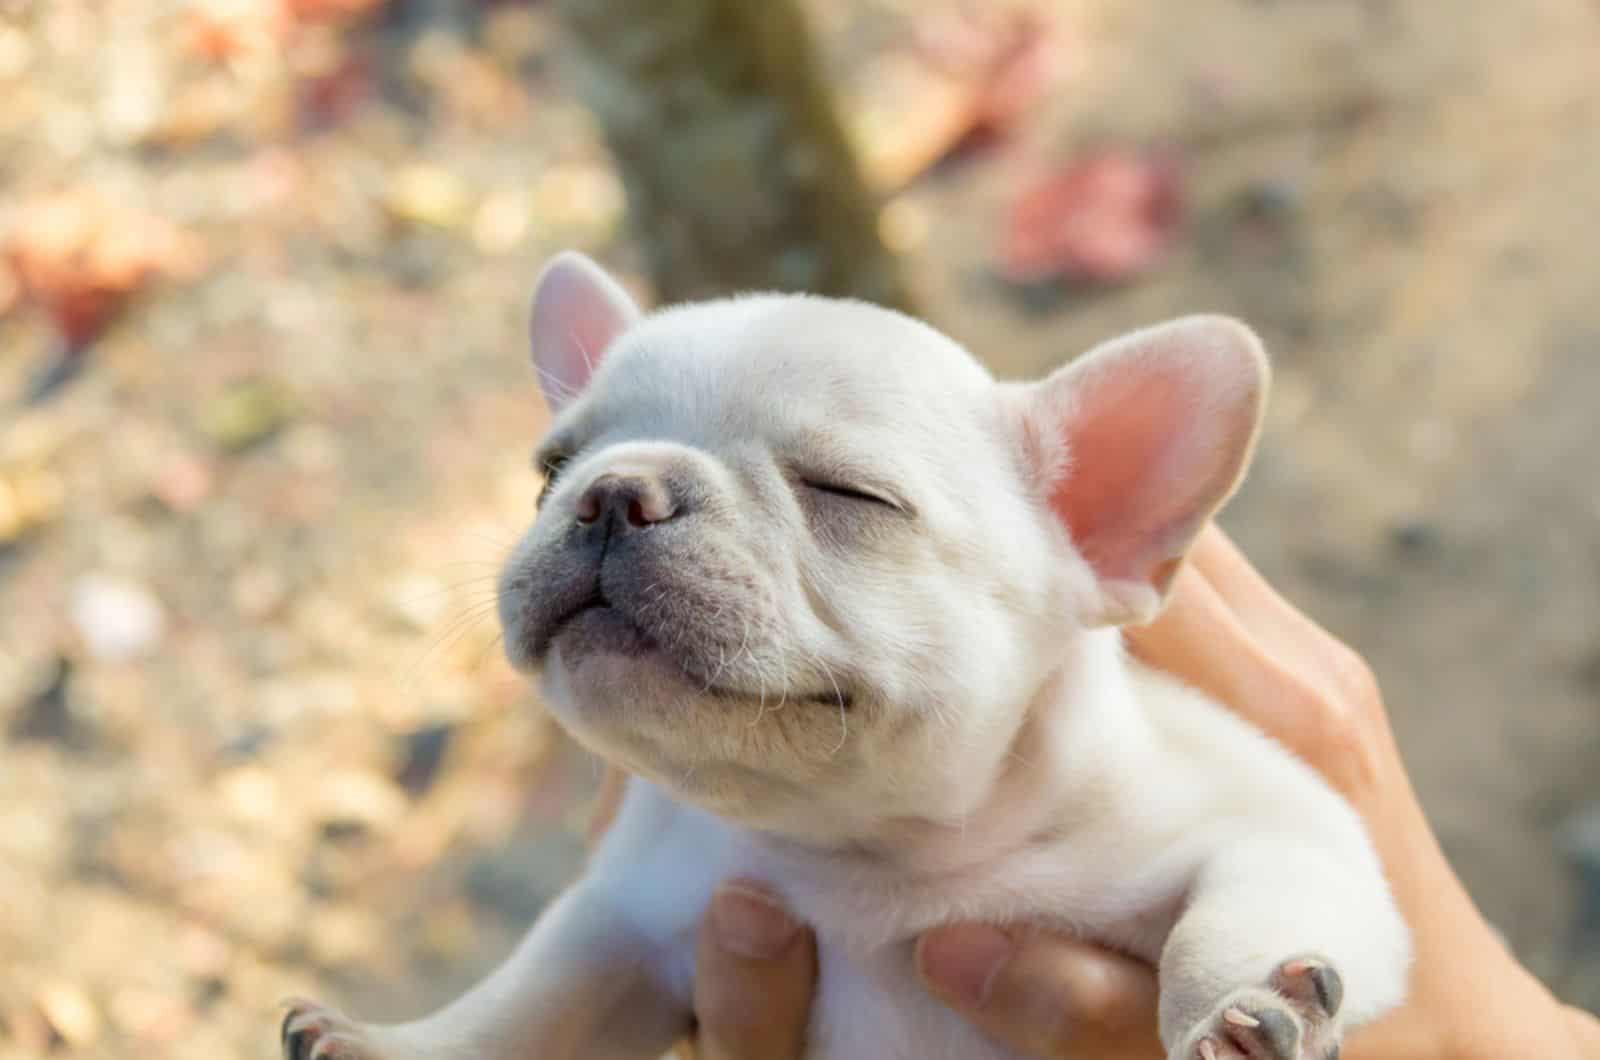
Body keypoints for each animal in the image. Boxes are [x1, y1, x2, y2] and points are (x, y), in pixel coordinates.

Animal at [281, 252, 1408, 1056]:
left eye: (847, 494)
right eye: (549, 470)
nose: (611, 491)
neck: (861, 854)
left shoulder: (1282, 825)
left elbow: (1229, 914)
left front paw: (1241, 1011)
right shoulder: (627, 919)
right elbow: (529, 1001)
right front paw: (393, 1048)